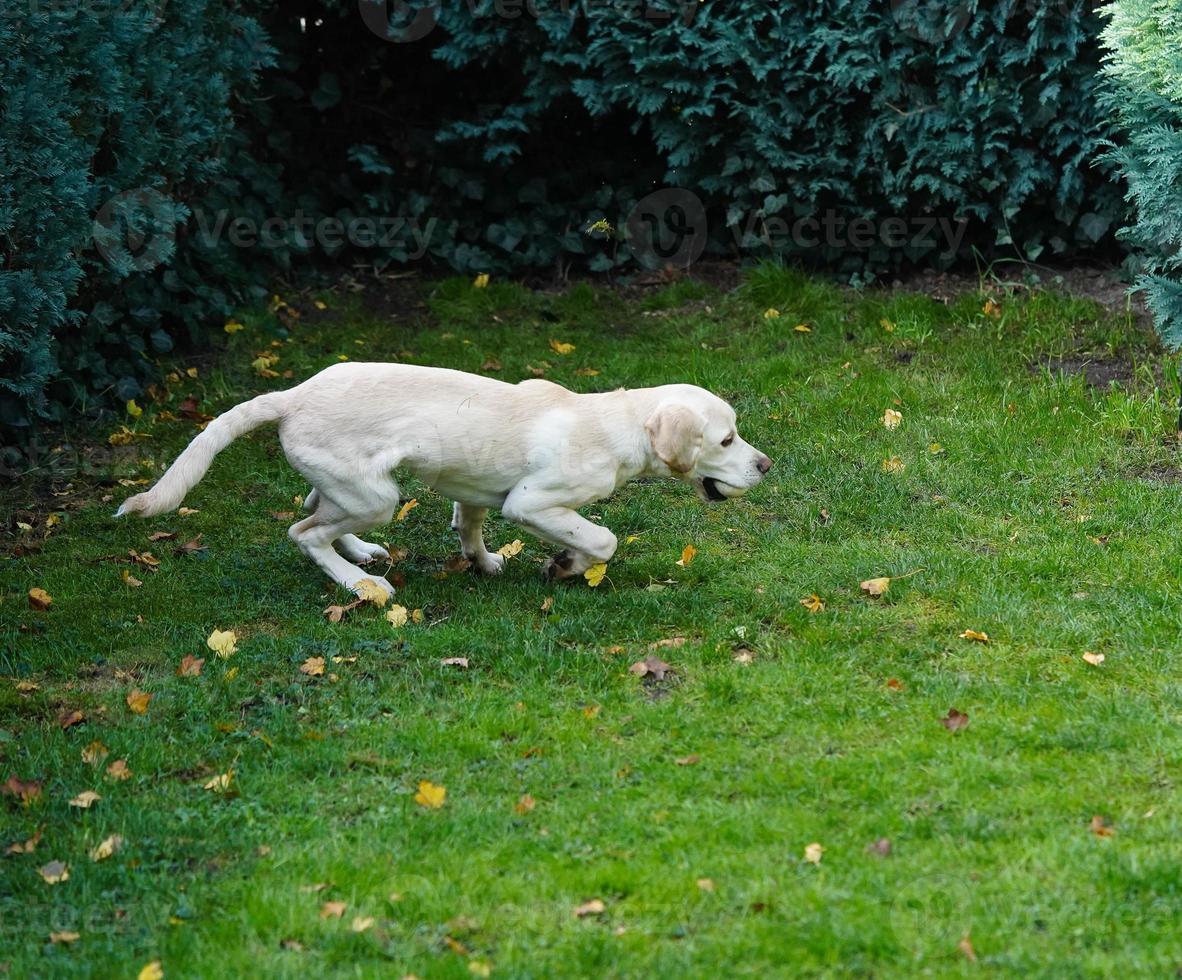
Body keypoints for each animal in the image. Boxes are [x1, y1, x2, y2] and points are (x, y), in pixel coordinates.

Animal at [115, 364, 770, 595]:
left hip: (357, 486)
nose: (765, 466)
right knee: (303, 533)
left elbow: (471, 530)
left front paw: (487, 563)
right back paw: (361, 584)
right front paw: (566, 565)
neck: (614, 421)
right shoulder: (530, 502)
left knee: (313, 508)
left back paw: (362, 553)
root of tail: (293, 394)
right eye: (726, 440)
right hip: (378, 495)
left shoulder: (477, 493)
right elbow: (600, 538)